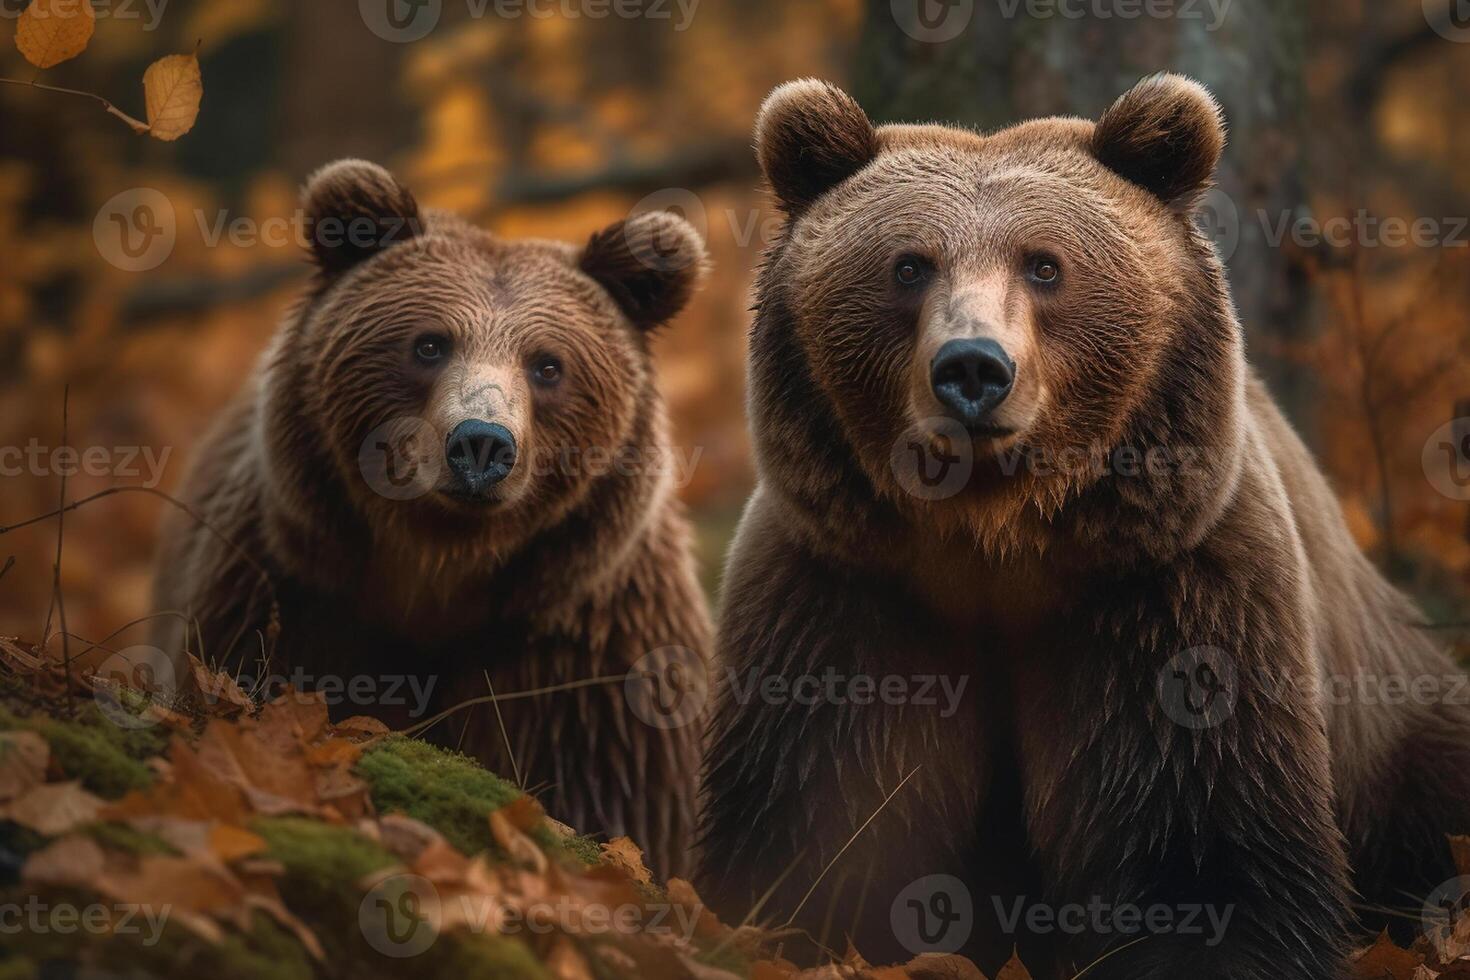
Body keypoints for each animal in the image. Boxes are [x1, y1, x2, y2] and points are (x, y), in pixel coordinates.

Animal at [152, 159, 714, 875]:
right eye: (428, 344)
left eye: (547, 364)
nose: (481, 444)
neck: (436, 571)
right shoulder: (293, 595)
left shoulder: (582, 666)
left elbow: (611, 797)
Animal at [693, 76, 1470, 980]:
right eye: (909, 264)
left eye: (1045, 264)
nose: (972, 368)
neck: (993, 540)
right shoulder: (848, 593)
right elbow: (811, 812)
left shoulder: (1167, 595)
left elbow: (1206, 843)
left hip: (1399, 735)